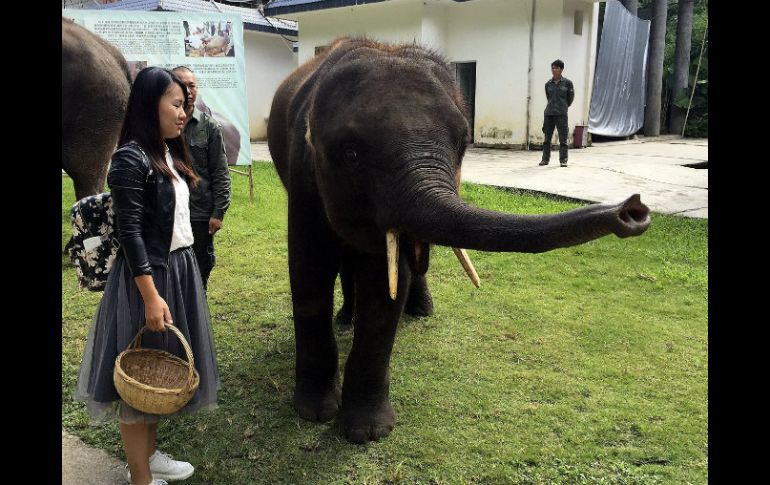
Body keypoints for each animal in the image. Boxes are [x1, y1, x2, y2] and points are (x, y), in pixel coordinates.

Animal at [266, 37, 648, 444]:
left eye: (463, 144)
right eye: (351, 153)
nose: (633, 210)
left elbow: (387, 283)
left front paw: (366, 432)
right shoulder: (302, 172)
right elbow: (309, 266)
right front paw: (313, 413)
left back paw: (417, 311)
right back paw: (346, 319)